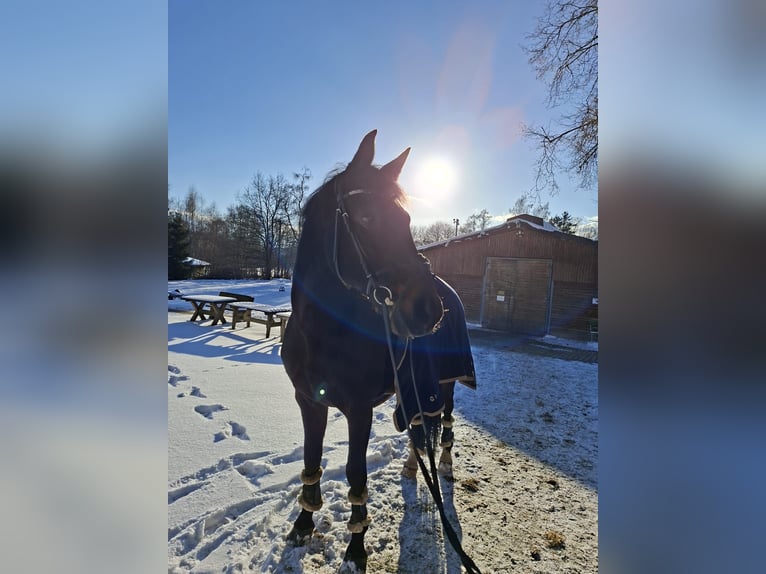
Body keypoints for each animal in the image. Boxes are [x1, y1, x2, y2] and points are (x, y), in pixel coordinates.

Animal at [281, 130, 477, 572]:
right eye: (367, 218)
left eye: (405, 221)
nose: (427, 310)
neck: (322, 336)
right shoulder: (308, 401)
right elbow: (310, 462)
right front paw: (303, 524)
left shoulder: (359, 410)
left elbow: (356, 475)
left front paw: (356, 549)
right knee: (419, 426)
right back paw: (411, 466)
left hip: (448, 382)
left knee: (443, 422)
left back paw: (443, 465)